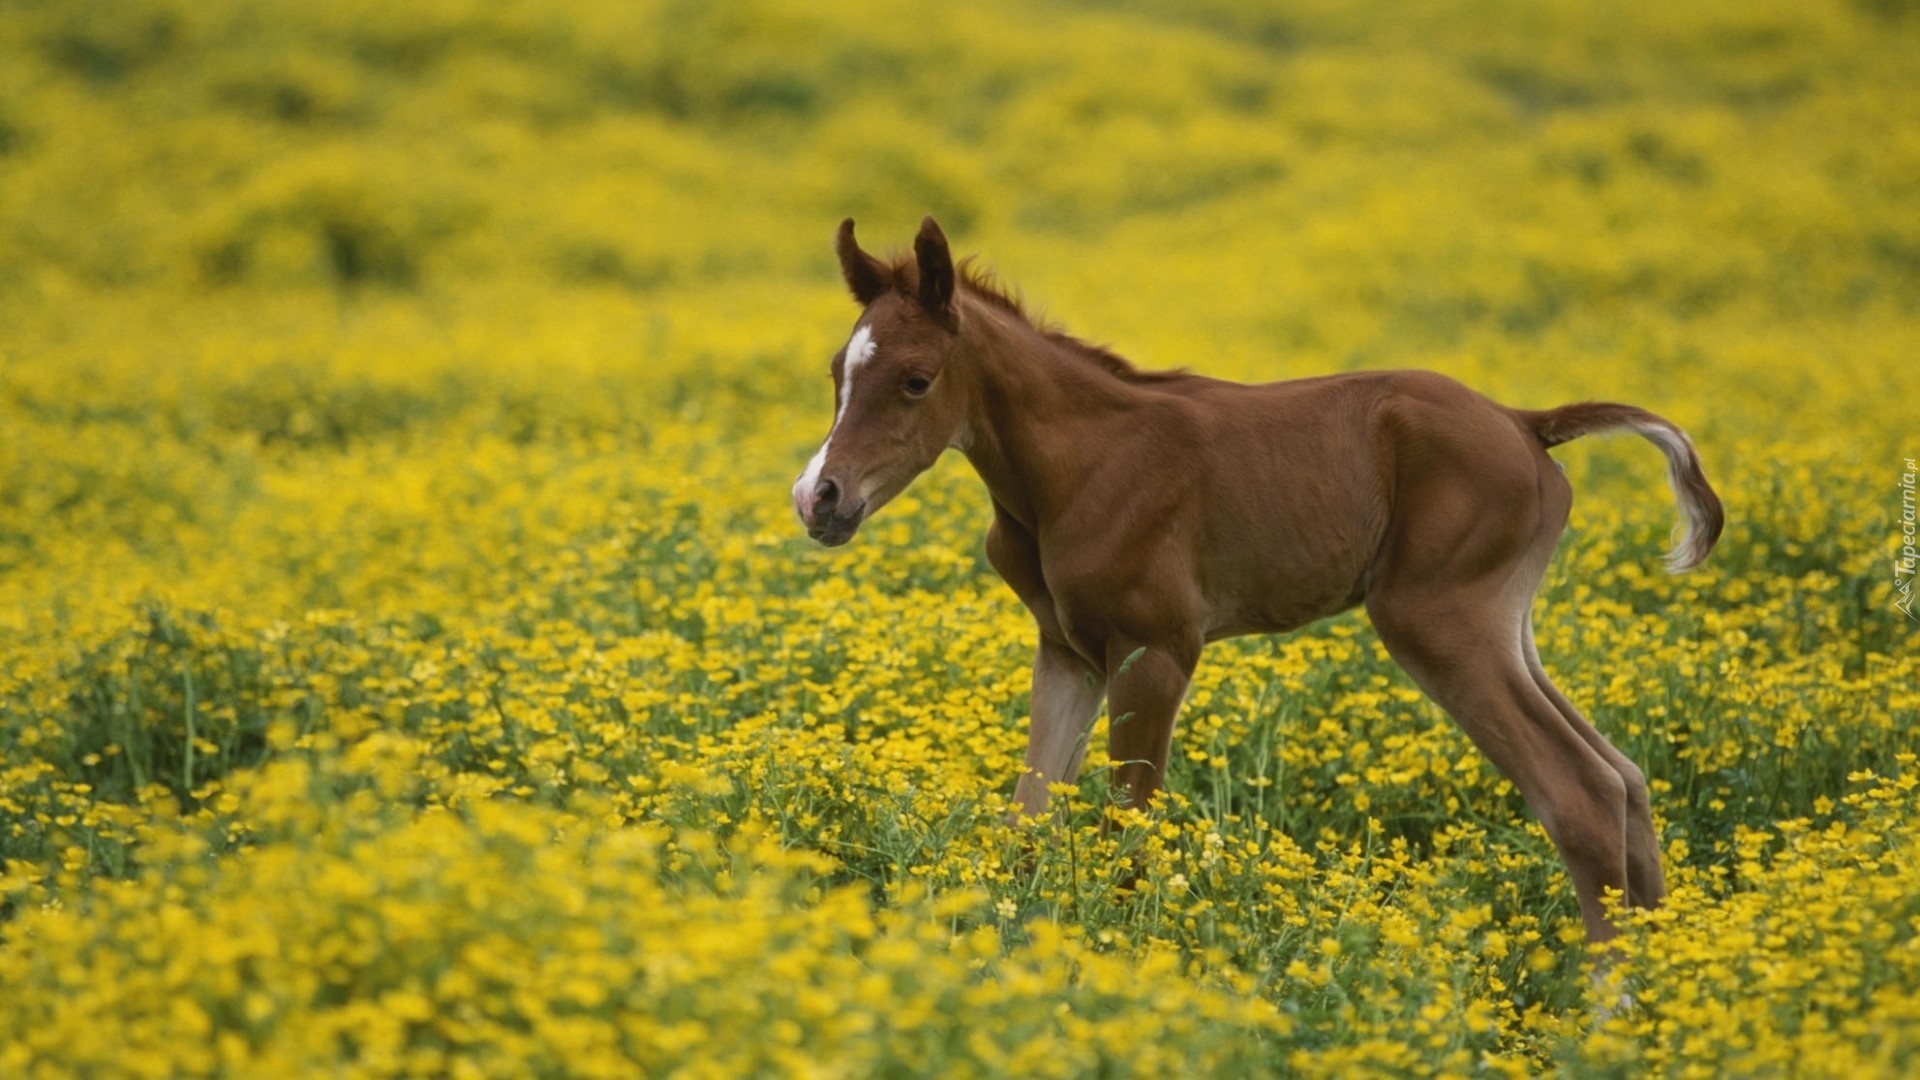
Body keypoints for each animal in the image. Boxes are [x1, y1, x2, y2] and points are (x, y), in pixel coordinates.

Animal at [791, 214, 1728, 937]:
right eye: (837, 373)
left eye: (916, 380)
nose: (818, 497)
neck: (1077, 465)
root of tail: (1526, 422)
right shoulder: (1068, 652)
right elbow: (1029, 816)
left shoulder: (1158, 651)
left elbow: (1130, 828)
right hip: (1507, 629)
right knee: (1625, 777)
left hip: (1438, 622)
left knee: (1579, 792)